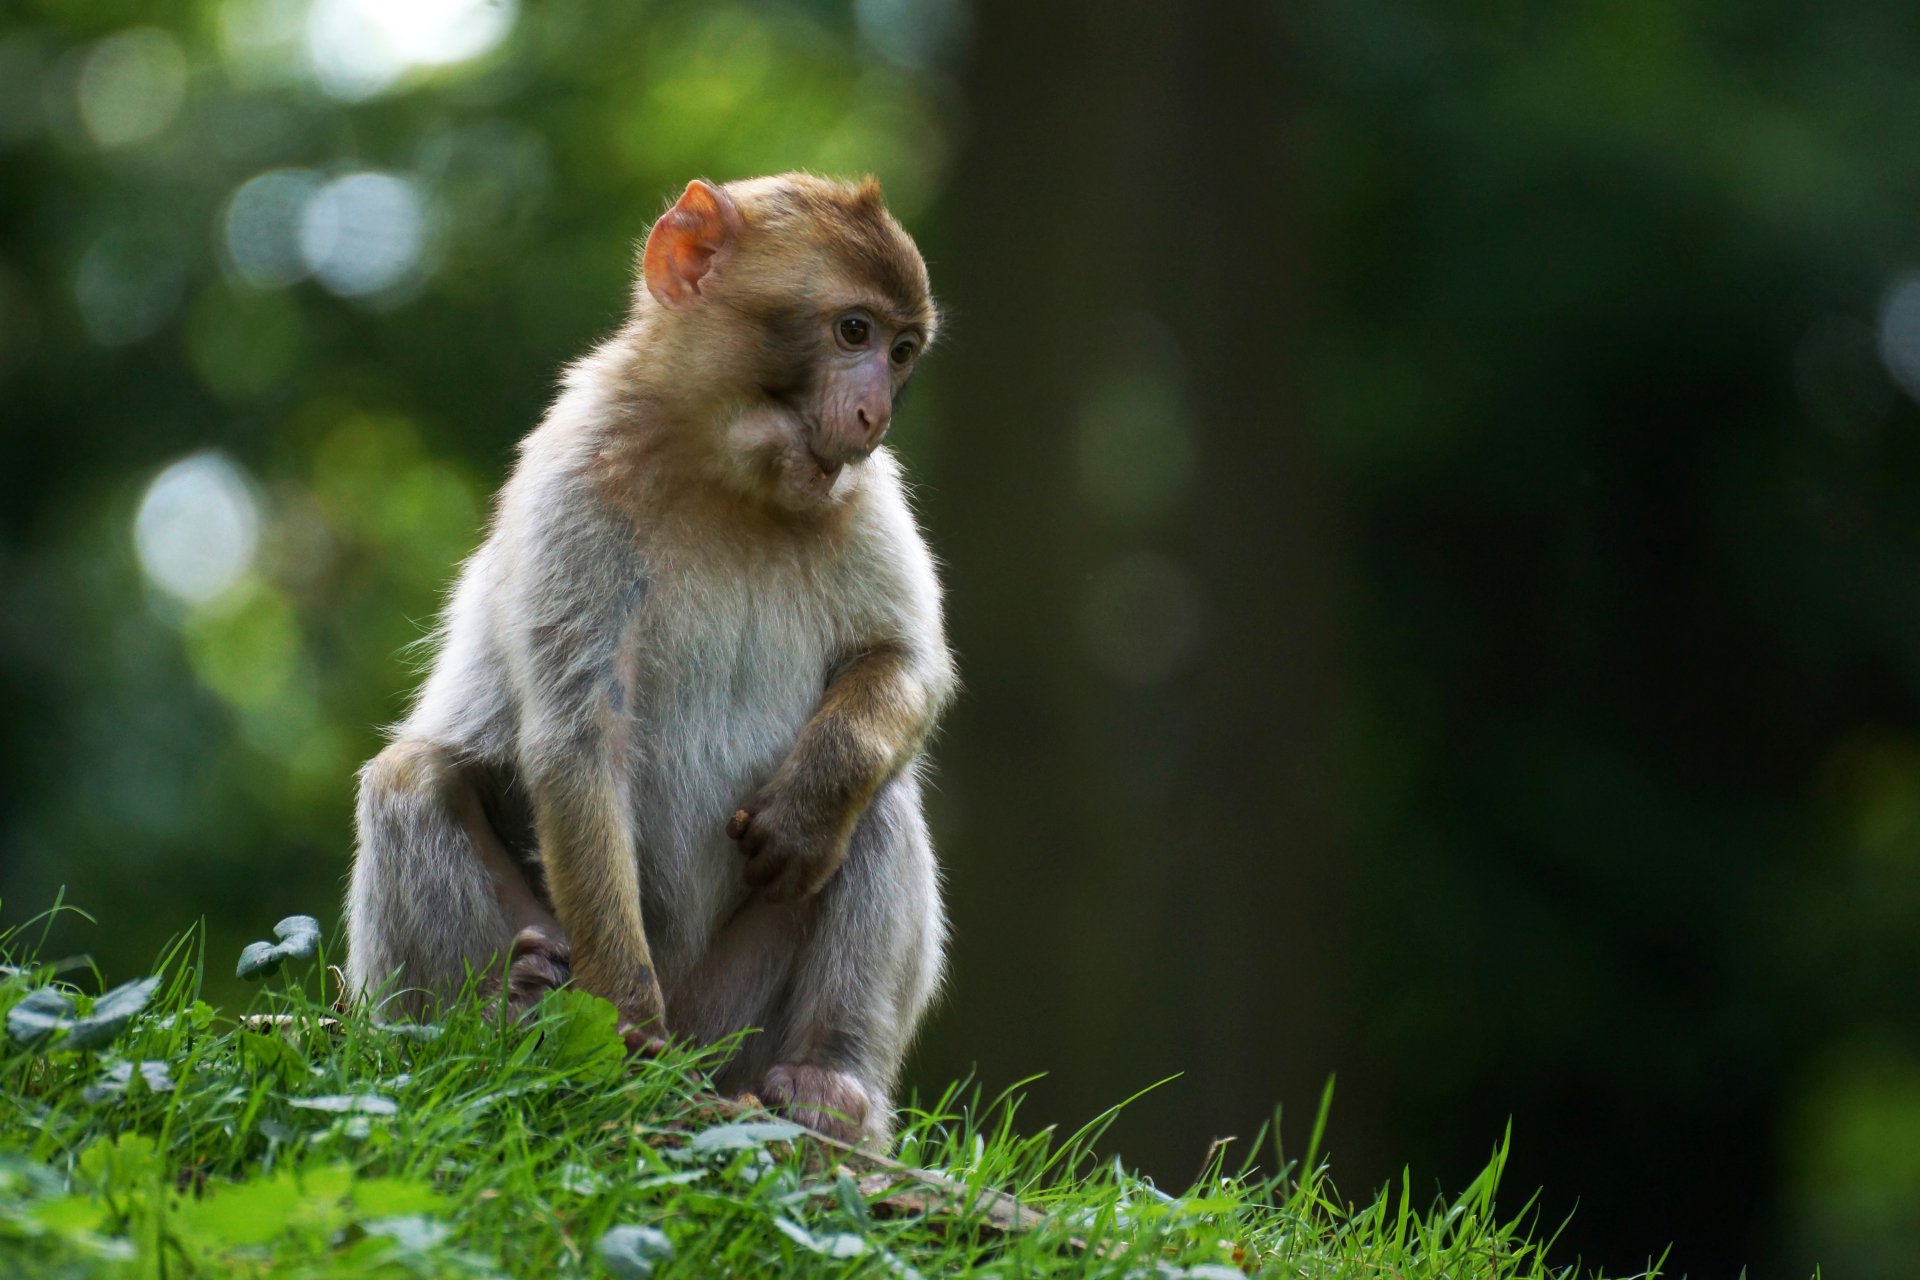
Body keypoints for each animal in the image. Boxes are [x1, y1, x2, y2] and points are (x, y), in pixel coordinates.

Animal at [343, 173, 954, 1145]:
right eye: (852, 331)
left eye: (901, 351)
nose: (875, 413)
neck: (725, 473)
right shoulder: (574, 481)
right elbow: (578, 734)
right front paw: (620, 1021)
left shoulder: (867, 491)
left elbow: (903, 661)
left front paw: (808, 805)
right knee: (410, 781)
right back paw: (510, 1013)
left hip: (737, 1018)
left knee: (879, 804)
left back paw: (829, 1084)